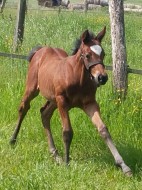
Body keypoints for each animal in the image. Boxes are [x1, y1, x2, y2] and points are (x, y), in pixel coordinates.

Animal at [10, 27, 132, 176]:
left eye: (103, 54)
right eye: (87, 55)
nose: (102, 78)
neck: (78, 78)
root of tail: (41, 49)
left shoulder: (90, 104)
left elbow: (103, 130)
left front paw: (123, 165)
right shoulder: (62, 102)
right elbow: (67, 132)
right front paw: (67, 163)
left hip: (53, 99)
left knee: (44, 114)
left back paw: (55, 154)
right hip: (33, 89)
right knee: (23, 108)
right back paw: (13, 140)